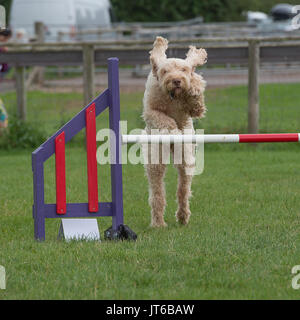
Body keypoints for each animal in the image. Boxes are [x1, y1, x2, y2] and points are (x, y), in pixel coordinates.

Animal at [142, 37, 207, 228]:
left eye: (183, 69)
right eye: (165, 71)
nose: (177, 80)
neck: (173, 97)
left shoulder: (194, 110)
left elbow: (196, 103)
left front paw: (194, 87)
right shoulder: (150, 111)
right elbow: (163, 118)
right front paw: (174, 130)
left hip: (186, 159)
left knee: (183, 190)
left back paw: (183, 216)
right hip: (155, 159)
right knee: (157, 192)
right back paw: (158, 222)